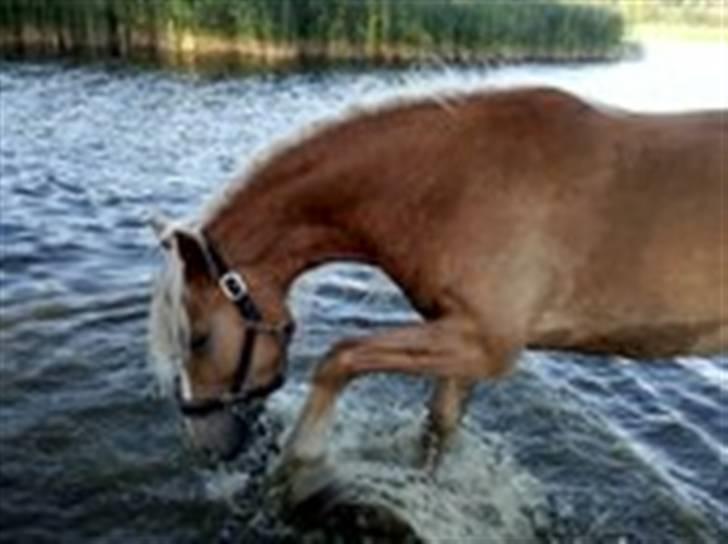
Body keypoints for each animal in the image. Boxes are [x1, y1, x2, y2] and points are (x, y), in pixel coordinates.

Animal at [149, 85, 728, 476]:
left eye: (198, 339)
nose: (202, 441)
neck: (454, 185)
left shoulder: (489, 346)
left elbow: (341, 356)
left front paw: (301, 460)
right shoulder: (460, 341)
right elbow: (437, 429)